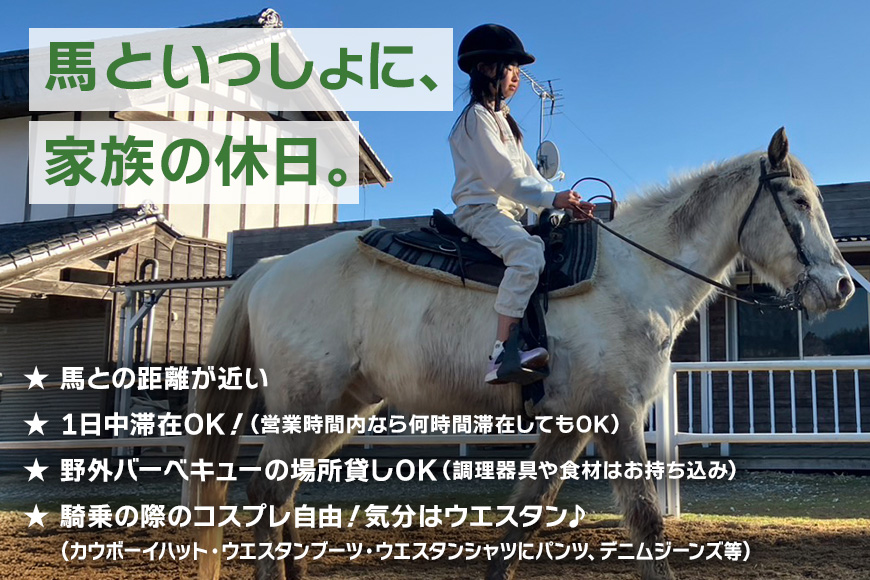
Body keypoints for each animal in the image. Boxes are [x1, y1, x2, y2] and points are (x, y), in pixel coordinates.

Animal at [190, 128, 854, 580]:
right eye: (798, 201)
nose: (843, 286)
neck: (635, 276)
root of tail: (272, 269)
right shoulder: (617, 414)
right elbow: (645, 521)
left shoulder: (570, 425)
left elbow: (524, 519)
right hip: (305, 401)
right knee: (267, 493)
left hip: (339, 410)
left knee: (284, 494)